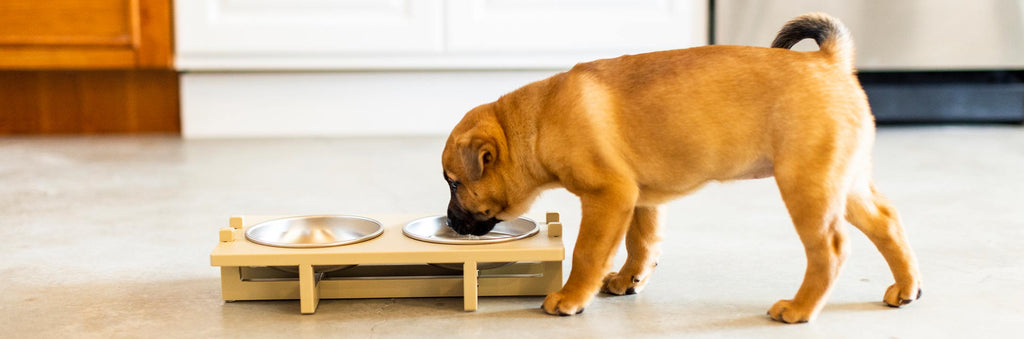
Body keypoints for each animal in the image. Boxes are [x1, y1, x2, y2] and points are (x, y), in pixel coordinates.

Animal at [444, 11, 925, 323]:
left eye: (453, 184)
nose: (450, 222)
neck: (536, 123)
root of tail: (828, 60)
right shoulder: (639, 198)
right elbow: (641, 242)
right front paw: (629, 279)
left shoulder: (607, 197)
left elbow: (587, 253)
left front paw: (570, 297)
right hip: (845, 182)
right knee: (887, 222)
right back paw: (906, 288)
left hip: (807, 185)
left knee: (830, 248)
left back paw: (800, 308)